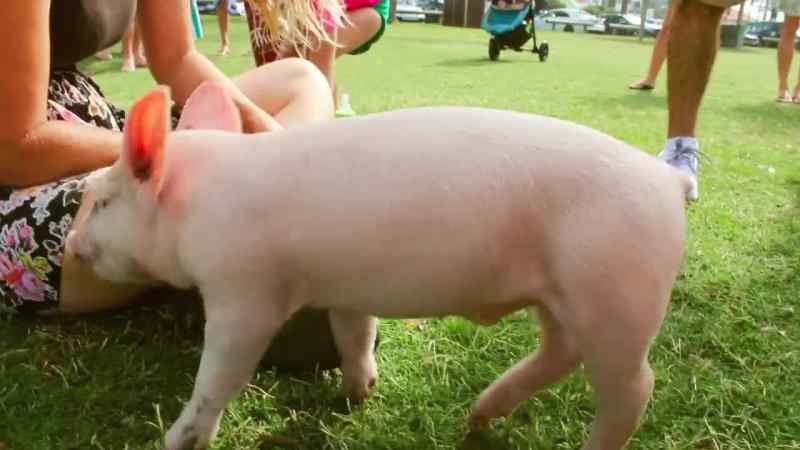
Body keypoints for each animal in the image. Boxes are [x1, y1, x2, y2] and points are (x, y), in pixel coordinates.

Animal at [67, 83, 691, 450]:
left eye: (102, 201)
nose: (70, 245)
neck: (197, 203)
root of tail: (665, 180)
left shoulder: (246, 291)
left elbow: (220, 374)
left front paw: (175, 440)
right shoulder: (343, 287)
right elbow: (355, 333)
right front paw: (359, 393)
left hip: (615, 292)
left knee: (633, 386)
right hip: (563, 295)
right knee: (561, 353)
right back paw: (478, 416)